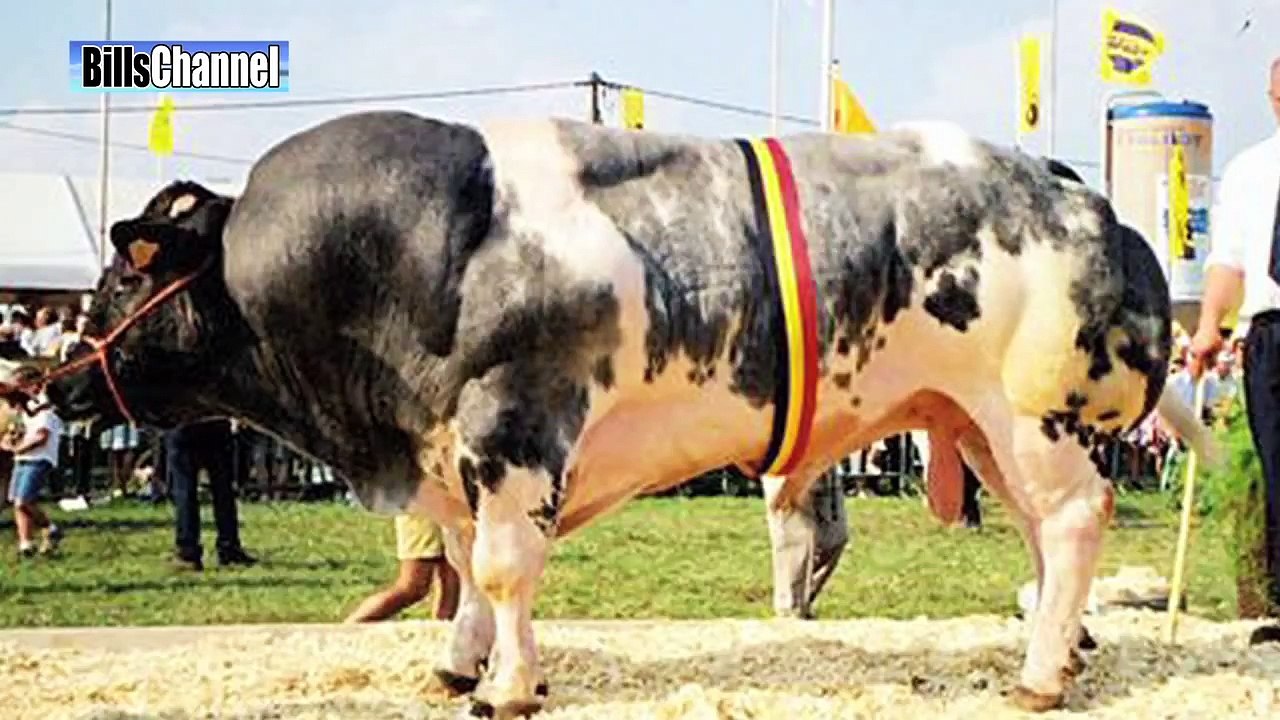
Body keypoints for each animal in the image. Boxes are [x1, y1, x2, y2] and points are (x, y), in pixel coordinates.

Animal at [41, 110, 1214, 717]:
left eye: (121, 277)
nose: (50, 385)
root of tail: (1069, 186)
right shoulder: (451, 453)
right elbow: (463, 567)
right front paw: (457, 663)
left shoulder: (513, 426)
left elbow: (503, 567)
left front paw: (507, 686)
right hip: (974, 422)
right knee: (1039, 537)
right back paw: (1062, 652)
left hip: (1038, 415)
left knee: (1069, 525)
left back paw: (1038, 676)